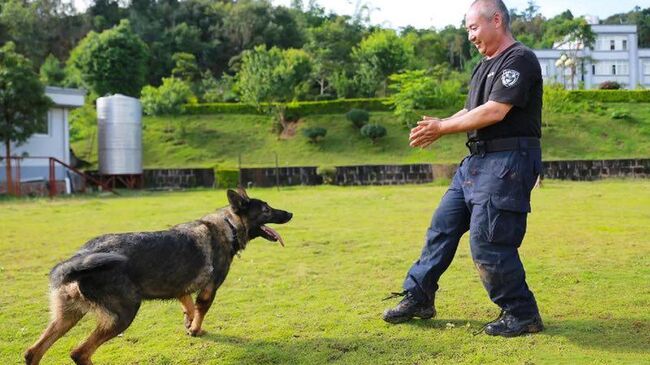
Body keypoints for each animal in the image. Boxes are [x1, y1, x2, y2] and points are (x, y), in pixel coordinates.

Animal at [23, 189, 292, 362]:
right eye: (267, 209)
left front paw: (188, 325)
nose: (290, 214)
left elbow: (188, 306)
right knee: (79, 353)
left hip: (67, 317)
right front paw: (195, 329)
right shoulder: (209, 290)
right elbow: (201, 311)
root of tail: (80, 256)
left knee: (33, 352)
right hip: (123, 315)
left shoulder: (182, 289)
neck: (229, 225)